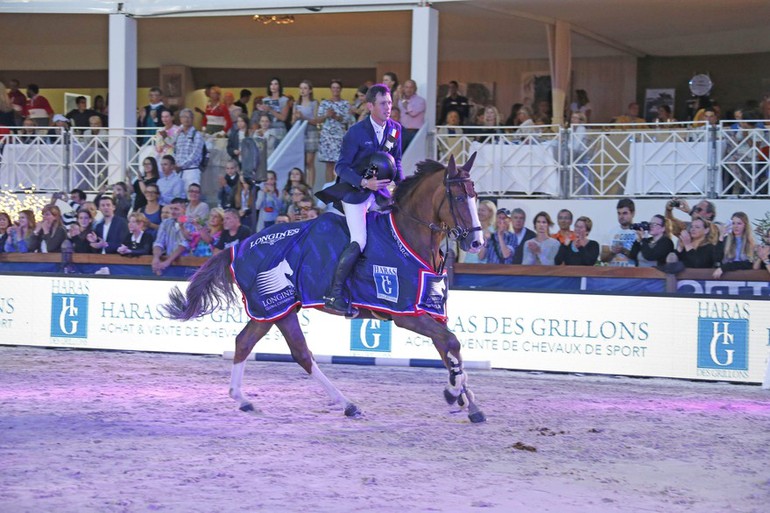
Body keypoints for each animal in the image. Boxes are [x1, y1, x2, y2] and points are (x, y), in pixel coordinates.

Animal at [164, 153, 486, 424]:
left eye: (476, 196)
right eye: (459, 197)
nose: (477, 243)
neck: (410, 237)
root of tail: (238, 247)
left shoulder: (429, 310)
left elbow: (449, 348)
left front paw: (467, 401)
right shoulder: (406, 313)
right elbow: (452, 343)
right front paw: (454, 393)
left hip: (274, 311)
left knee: (258, 345)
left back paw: (246, 400)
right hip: (274, 307)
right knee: (292, 352)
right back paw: (345, 403)